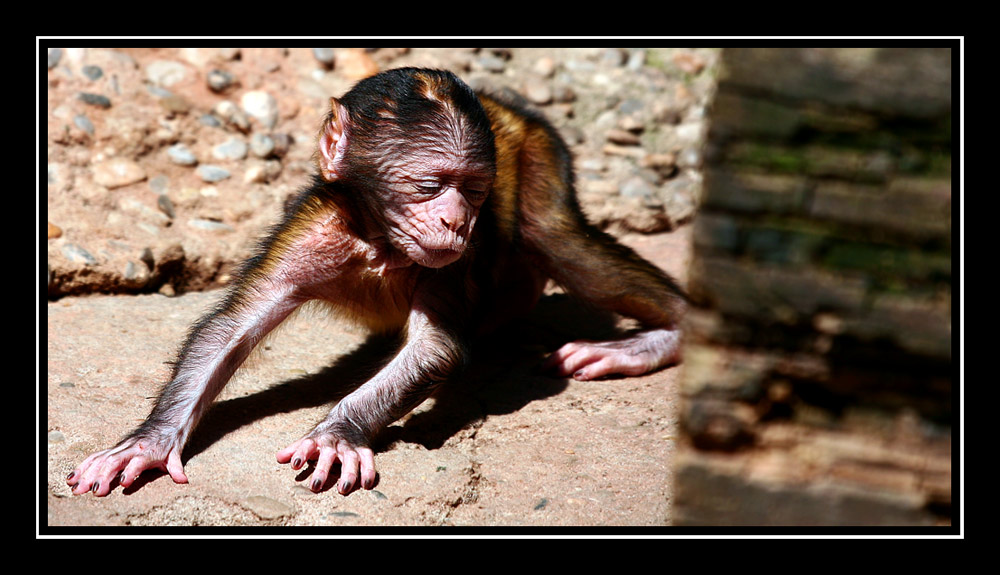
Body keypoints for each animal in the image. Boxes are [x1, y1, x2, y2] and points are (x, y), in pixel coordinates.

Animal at [66, 67, 684, 498]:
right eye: (430, 186)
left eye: (474, 190)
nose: (458, 221)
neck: (379, 241)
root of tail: (506, 105)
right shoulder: (315, 224)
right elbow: (232, 327)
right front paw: (148, 442)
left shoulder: (453, 258)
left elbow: (435, 346)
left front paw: (339, 432)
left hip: (538, 149)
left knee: (557, 239)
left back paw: (668, 334)